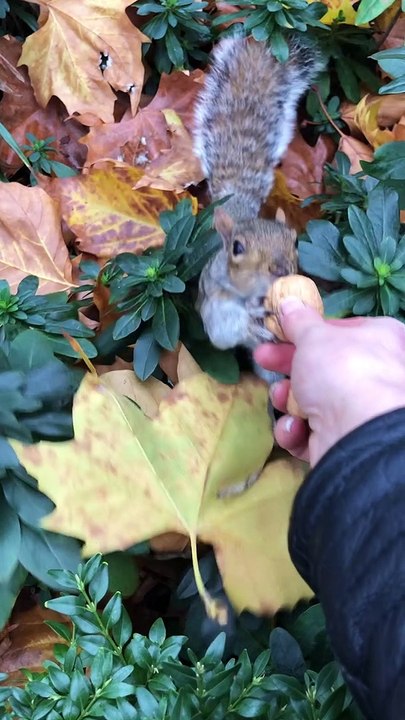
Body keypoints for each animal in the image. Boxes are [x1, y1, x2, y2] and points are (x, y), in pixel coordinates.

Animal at [193, 34, 325, 364]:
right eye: (237, 248)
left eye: (294, 240)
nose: (280, 270)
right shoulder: (216, 301)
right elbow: (228, 327)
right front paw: (252, 318)